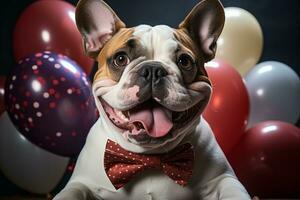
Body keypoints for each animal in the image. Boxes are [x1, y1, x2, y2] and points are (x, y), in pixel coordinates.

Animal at [53, 0, 251, 199]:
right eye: (120, 59)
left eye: (184, 61)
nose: (153, 69)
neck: (149, 158)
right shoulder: (81, 182)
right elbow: (70, 192)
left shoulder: (223, 178)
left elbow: (234, 191)